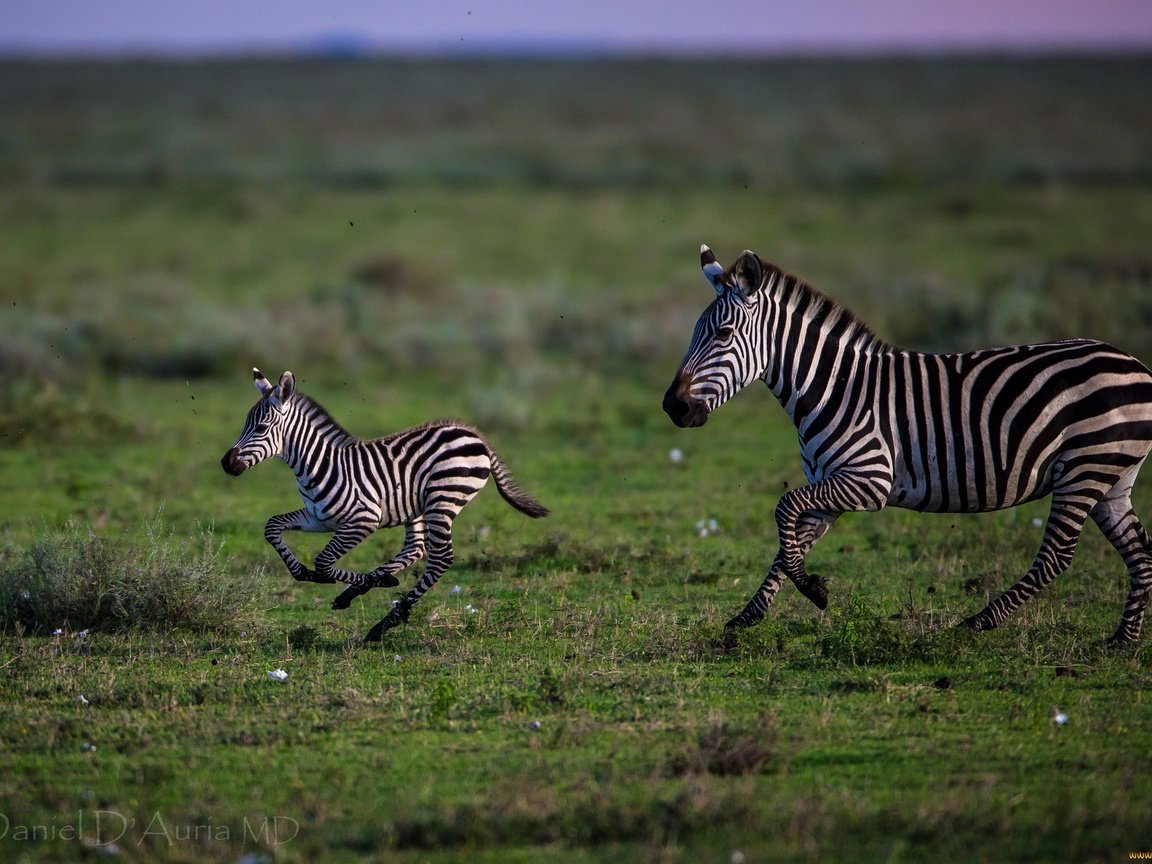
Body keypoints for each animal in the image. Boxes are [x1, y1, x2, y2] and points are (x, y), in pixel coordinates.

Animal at [225, 366, 552, 645]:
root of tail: (473, 434)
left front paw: (368, 581)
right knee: (416, 548)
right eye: (245, 424)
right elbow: (273, 527)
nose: (226, 463)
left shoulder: (362, 520)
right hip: (418, 506)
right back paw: (365, 592)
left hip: (442, 499)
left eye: (261, 427)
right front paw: (311, 575)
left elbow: (324, 562)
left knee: (440, 558)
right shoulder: (319, 518)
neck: (318, 465)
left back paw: (384, 622)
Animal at [663, 246, 1152, 645]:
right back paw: (1122, 641)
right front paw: (753, 614)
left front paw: (811, 591)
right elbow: (789, 546)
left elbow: (784, 509)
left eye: (723, 335)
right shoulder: (830, 486)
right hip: (1111, 477)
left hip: (1084, 469)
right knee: (1139, 551)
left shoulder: (869, 479)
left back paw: (979, 622)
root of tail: (1136, 364)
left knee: (1057, 555)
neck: (833, 386)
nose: (673, 406)